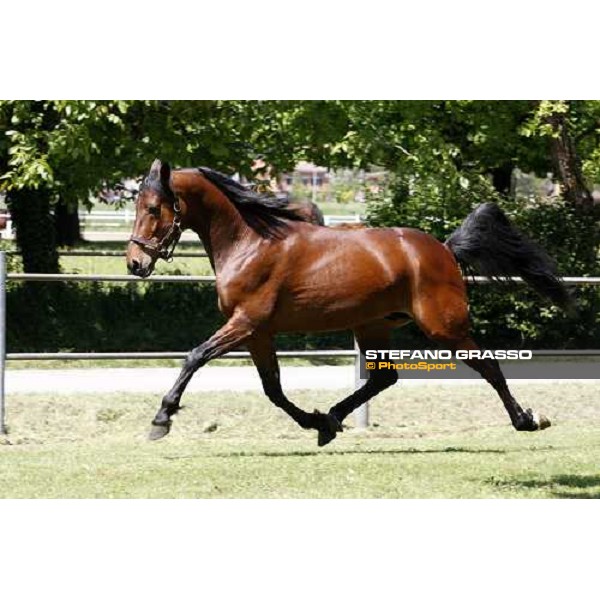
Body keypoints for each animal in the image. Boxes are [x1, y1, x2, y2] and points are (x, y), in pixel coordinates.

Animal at [127, 159, 572, 446]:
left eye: (153, 208)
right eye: (136, 206)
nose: (135, 263)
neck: (251, 243)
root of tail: (444, 249)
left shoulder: (246, 323)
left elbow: (195, 357)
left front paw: (160, 419)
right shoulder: (258, 333)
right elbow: (273, 389)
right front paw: (315, 423)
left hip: (443, 326)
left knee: (488, 364)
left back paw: (527, 420)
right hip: (371, 326)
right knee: (383, 379)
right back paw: (332, 419)